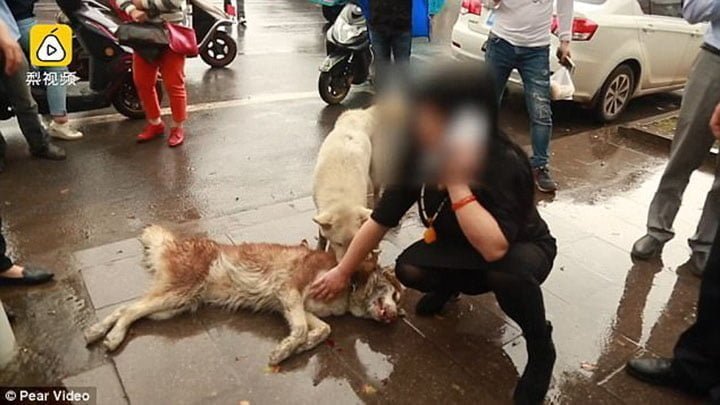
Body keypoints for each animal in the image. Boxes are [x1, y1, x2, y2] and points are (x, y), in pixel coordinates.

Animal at [83, 224, 404, 362]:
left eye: (398, 304)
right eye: (395, 294)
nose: (395, 317)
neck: (348, 284)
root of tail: (179, 243)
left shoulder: (298, 306)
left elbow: (324, 329)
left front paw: (305, 345)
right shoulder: (289, 291)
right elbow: (302, 329)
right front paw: (286, 350)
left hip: (173, 306)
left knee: (128, 308)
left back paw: (97, 331)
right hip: (179, 293)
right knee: (131, 309)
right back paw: (112, 337)